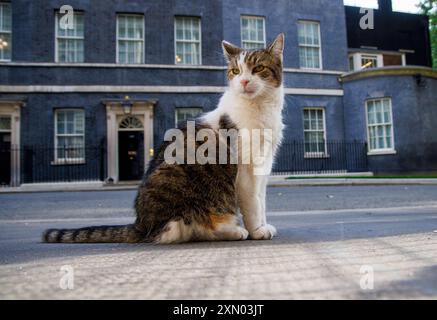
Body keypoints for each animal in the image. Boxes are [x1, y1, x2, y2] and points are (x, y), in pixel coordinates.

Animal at [42, 32, 284, 244]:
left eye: (258, 68)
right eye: (235, 71)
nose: (243, 82)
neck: (259, 108)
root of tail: (141, 224)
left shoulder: (264, 165)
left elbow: (261, 201)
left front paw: (263, 225)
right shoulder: (245, 169)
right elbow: (252, 204)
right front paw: (257, 230)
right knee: (190, 229)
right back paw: (233, 230)